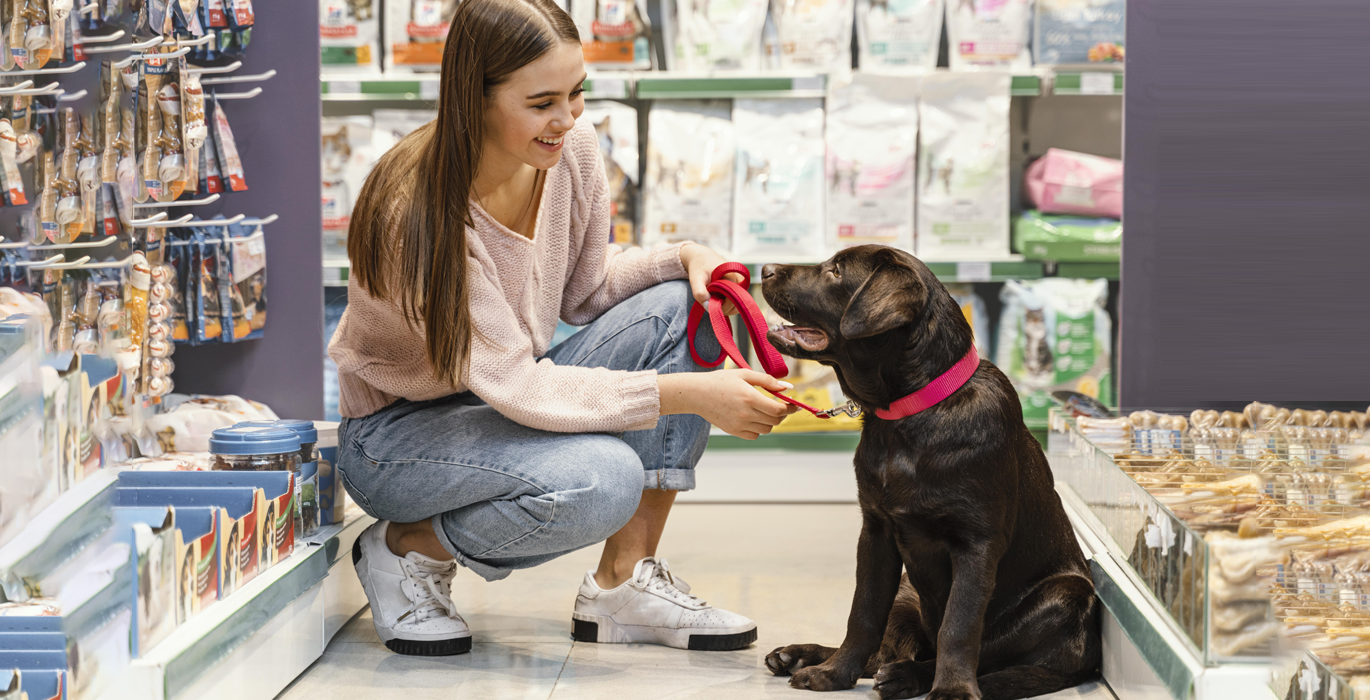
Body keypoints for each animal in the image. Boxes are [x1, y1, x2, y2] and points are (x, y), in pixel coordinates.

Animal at [761, 246, 1101, 700]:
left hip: (1066, 595)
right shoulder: (876, 533)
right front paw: (834, 673)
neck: (912, 412)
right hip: (907, 590)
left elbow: (959, 627)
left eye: (834, 270)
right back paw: (802, 655)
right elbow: (862, 614)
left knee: (969, 655)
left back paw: (908, 677)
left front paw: (953, 690)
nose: (764, 268)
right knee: (886, 651)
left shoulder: (977, 544)